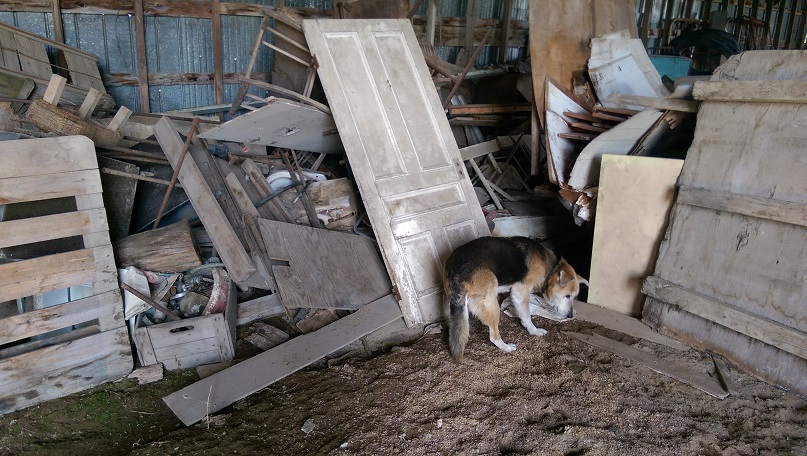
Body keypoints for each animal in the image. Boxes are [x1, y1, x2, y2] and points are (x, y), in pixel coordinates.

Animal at [446, 237, 592, 362]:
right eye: (567, 296)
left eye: (574, 297)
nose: (570, 315)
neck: (550, 267)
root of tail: (457, 271)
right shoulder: (520, 292)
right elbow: (527, 316)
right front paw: (534, 331)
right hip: (491, 304)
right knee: (493, 336)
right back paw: (507, 348)